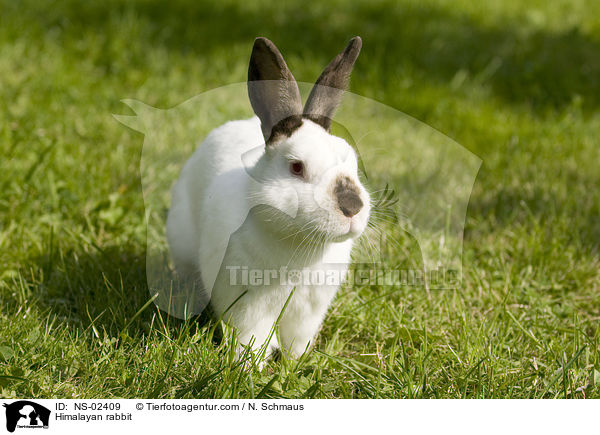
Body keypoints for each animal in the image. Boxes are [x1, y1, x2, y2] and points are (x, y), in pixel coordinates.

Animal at [165, 36, 370, 364]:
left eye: (350, 159)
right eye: (297, 167)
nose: (352, 206)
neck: (298, 247)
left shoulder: (307, 313)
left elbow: (297, 341)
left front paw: (295, 363)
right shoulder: (246, 306)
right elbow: (251, 338)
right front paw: (249, 366)